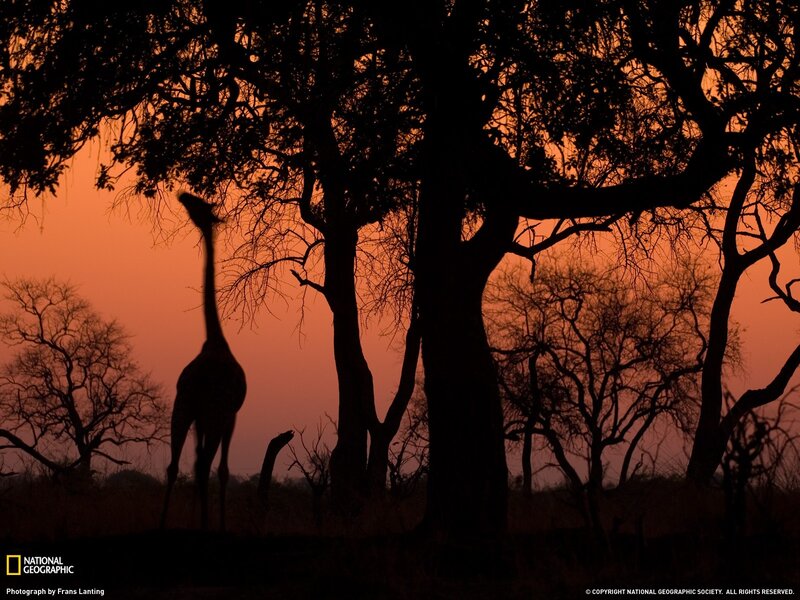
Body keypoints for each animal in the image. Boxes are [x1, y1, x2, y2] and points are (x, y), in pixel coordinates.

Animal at [161, 192, 247, 530]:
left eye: (199, 205)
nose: (183, 195)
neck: (215, 339)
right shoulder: (228, 415)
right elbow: (220, 470)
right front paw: (217, 524)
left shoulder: (201, 414)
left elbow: (199, 463)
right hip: (210, 413)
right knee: (204, 464)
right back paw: (207, 525)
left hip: (184, 407)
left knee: (176, 465)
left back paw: (162, 524)